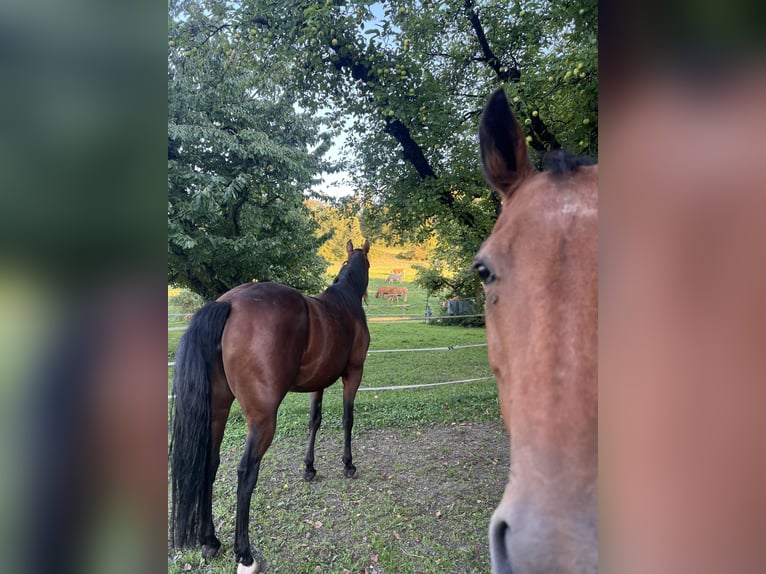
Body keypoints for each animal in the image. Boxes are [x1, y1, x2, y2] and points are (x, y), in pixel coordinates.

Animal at [169, 239, 371, 574]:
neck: (345, 302)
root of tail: (228, 304)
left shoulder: (318, 383)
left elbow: (314, 420)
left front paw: (309, 467)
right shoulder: (353, 373)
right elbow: (347, 419)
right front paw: (348, 464)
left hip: (217, 412)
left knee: (210, 464)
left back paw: (210, 541)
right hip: (263, 420)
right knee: (245, 472)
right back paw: (244, 552)